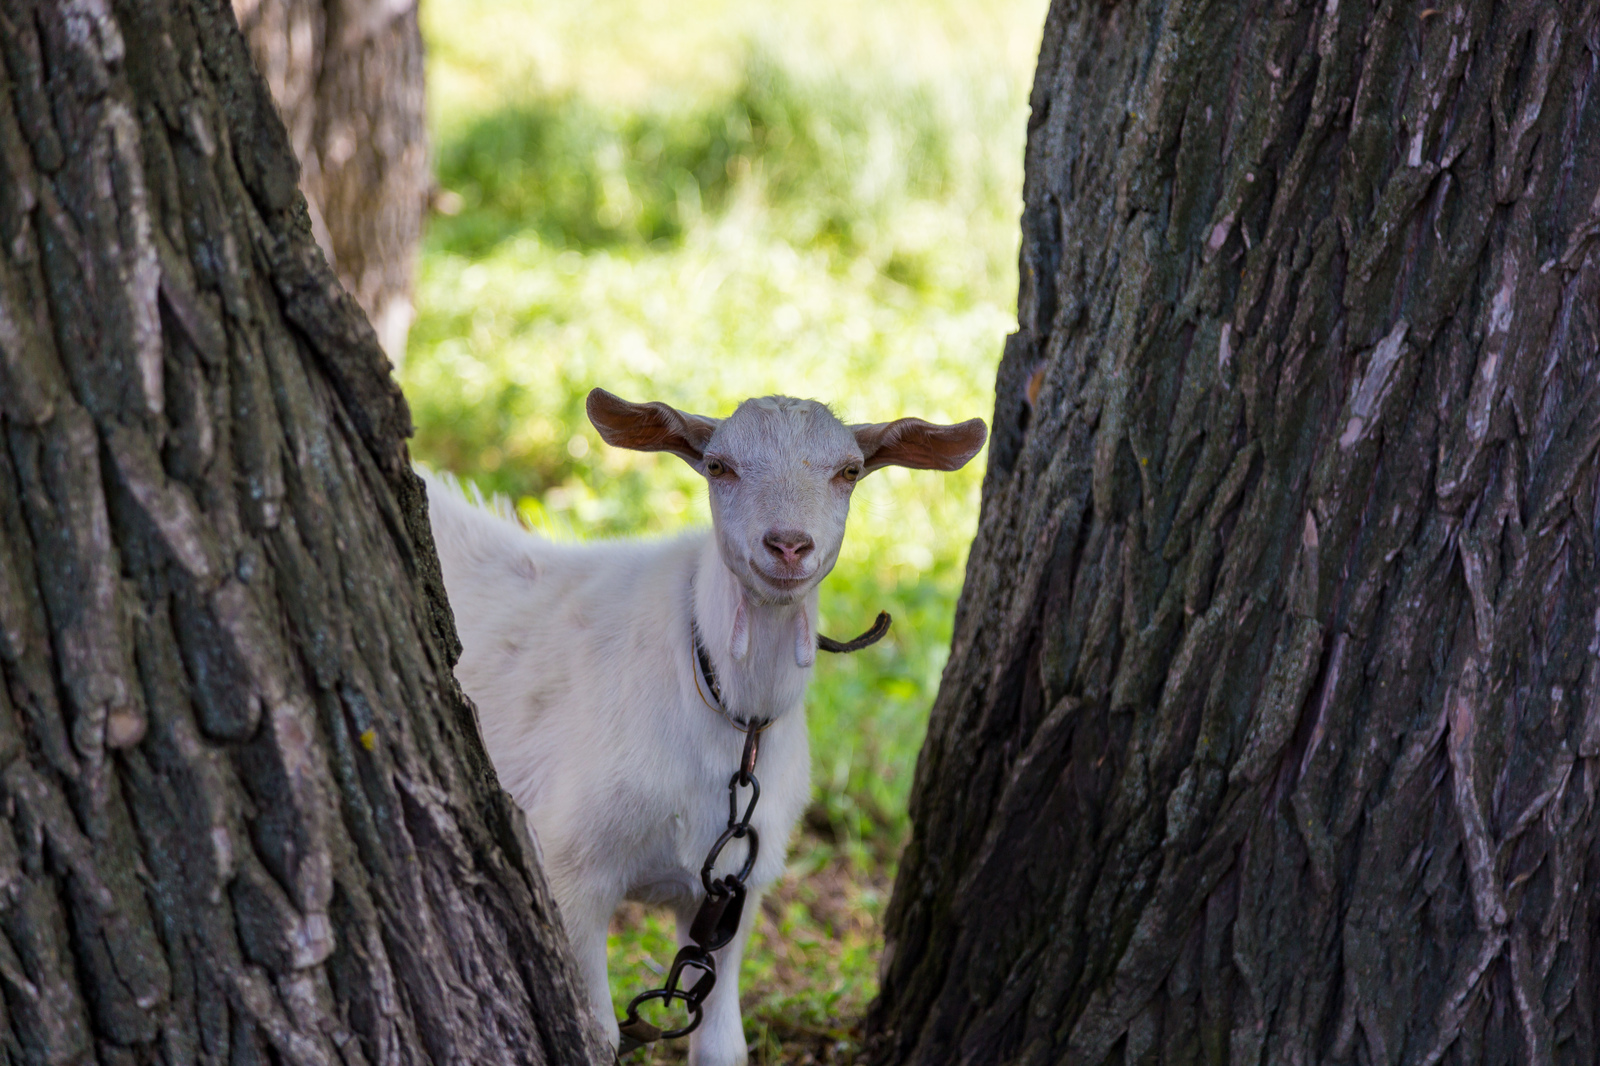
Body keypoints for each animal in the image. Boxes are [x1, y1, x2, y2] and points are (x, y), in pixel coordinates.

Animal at [419, 390, 979, 1062]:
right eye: (718, 467)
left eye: (849, 471)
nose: (788, 545)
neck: (732, 719)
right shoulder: (568, 866)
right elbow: (596, 1033)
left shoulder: (735, 895)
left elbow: (722, 1047)